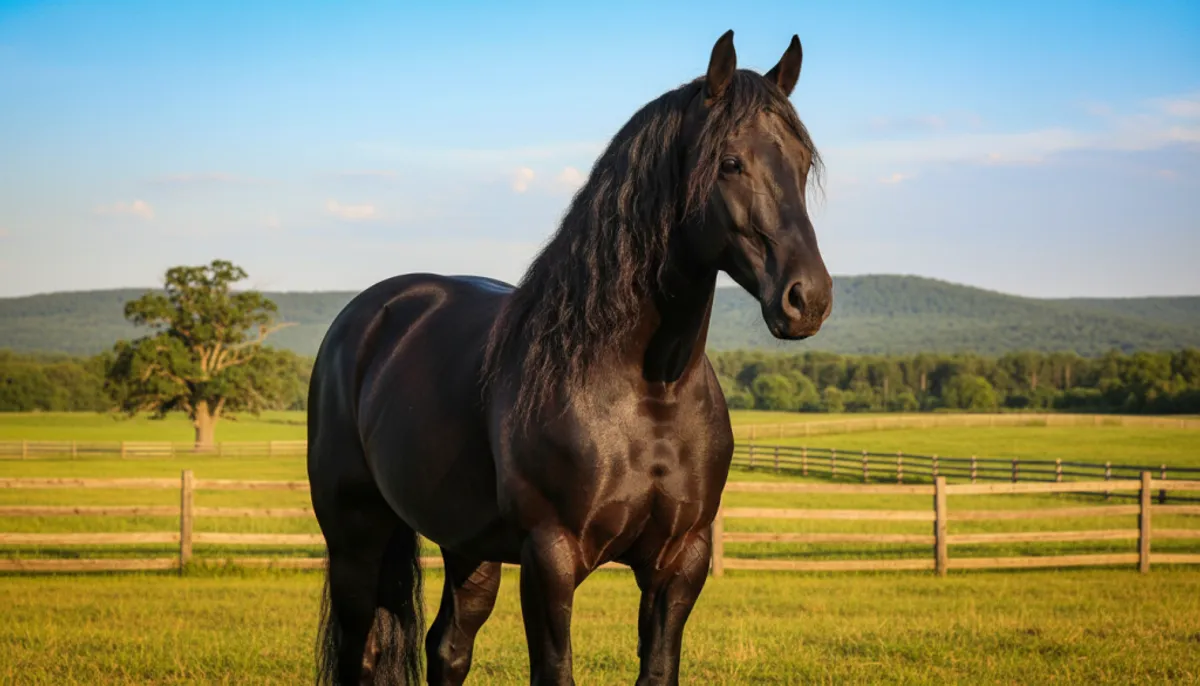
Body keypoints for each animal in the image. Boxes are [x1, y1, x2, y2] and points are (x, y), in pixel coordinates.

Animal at [307, 29, 833, 686]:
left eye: (803, 163)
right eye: (731, 162)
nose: (807, 298)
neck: (648, 390)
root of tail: (369, 313)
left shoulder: (679, 563)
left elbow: (657, 668)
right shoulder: (549, 558)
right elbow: (554, 671)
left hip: (467, 546)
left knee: (447, 648)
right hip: (355, 537)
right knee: (363, 649)